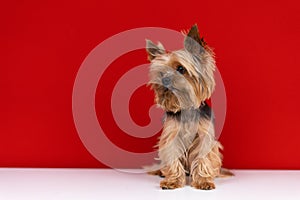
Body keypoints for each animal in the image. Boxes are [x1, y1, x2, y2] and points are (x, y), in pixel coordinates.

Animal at [145, 24, 232, 190]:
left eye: (180, 69)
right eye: (161, 73)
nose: (164, 80)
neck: (185, 106)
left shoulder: (203, 136)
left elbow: (202, 159)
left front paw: (204, 181)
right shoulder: (171, 136)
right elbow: (172, 157)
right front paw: (172, 181)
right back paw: (161, 171)